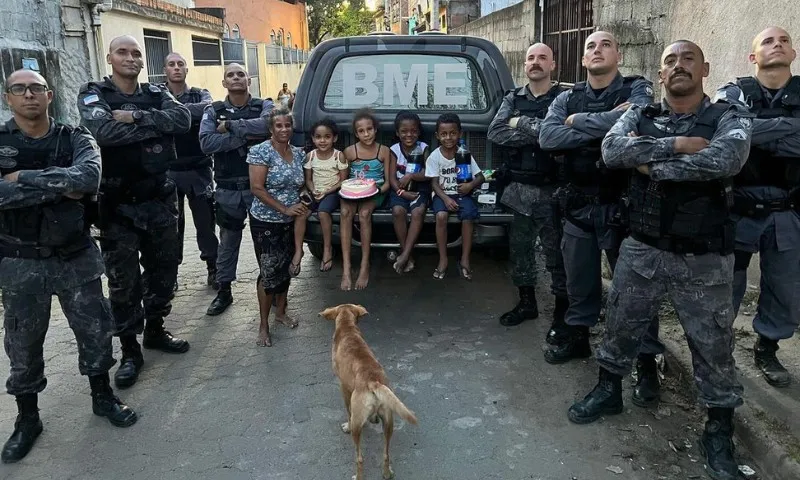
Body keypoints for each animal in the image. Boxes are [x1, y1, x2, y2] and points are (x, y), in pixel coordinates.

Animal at [318, 304, 418, 480]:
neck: (347, 327)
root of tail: (373, 382)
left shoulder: (344, 387)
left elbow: (348, 411)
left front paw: (346, 425)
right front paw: (373, 419)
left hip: (358, 425)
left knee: (359, 457)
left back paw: (358, 476)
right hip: (389, 421)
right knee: (386, 454)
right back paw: (387, 473)